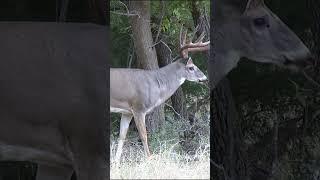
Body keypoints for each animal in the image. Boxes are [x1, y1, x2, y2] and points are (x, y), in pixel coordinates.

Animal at [110, 27, 210, 163]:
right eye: (191, 67)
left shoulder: (127, 112)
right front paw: (149, 159)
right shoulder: (139, 108)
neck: (156, 84)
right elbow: (144, 135)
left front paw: (116, 163)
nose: (205, 78)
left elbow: (122, 136)